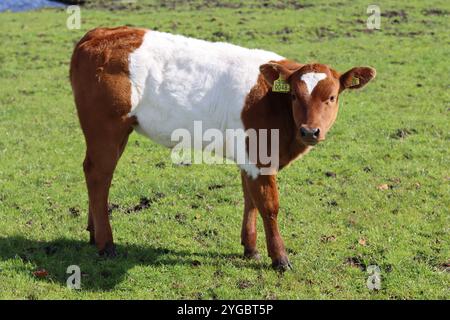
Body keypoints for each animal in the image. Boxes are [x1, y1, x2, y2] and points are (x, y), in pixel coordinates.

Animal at [70, 26, 376, 270]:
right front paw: (280, 259)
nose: (310, 131)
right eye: (293, 95)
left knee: (94, 173)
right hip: (106, 128)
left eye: (332, 97)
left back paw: (92, 232)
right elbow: (269, 206)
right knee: (99, 175)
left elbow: (250, 200)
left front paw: (250, 248)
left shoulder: (249, 157)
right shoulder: (261, 157)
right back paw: (106, 244)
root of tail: (99, 33)